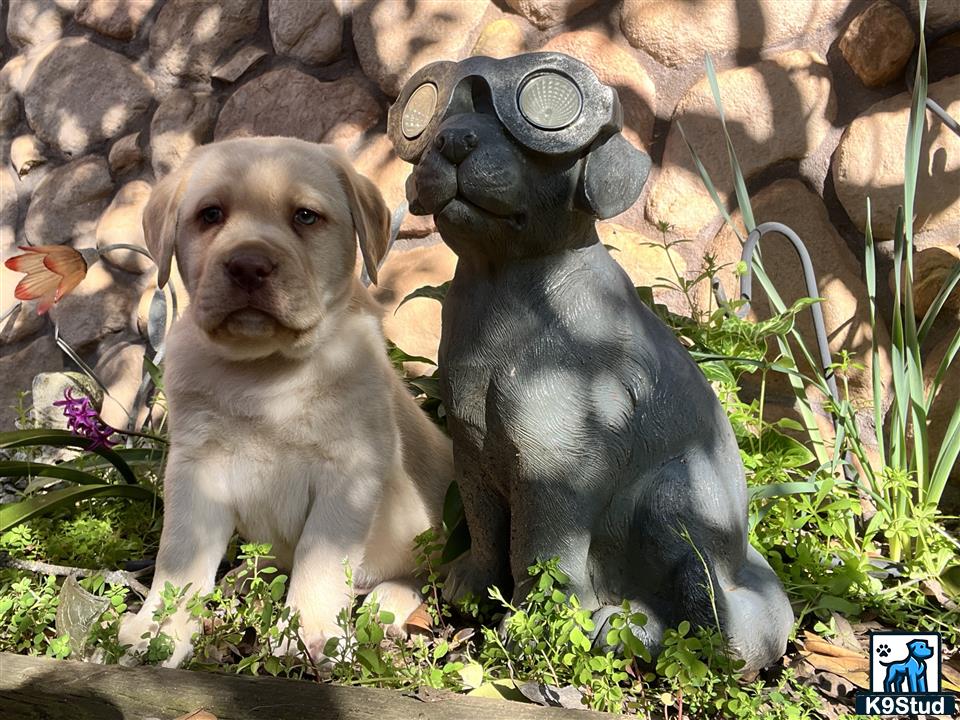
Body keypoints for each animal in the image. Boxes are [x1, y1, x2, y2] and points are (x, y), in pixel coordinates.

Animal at [116, 138, 454, 668]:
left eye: (305, 216)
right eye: (210, 214)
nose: (248, 266)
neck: (265, 373)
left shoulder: (349, 473)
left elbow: (320, 555)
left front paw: (311, 634)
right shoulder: (195, 470)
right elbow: (179, 556)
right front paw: (159, 629)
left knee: (419, 578)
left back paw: (387, 605)